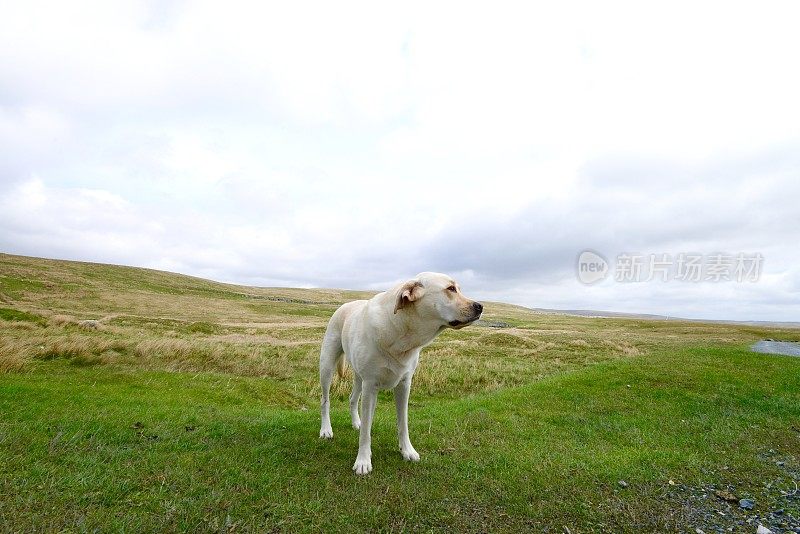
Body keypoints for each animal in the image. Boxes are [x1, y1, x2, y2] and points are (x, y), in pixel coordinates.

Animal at [318, 274, 482, 476]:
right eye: (450, 289)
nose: (480, 307)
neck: (402, 332)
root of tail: (345, 305)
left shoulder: (404, 385)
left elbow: (403, 422)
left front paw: (407, 451)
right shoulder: (370, 385)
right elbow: (366, 434)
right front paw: (363, 460)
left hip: (358, 377)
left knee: (352, 399)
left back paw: (356, 422)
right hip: (327, 367)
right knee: (325, 400)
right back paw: (326, 430)